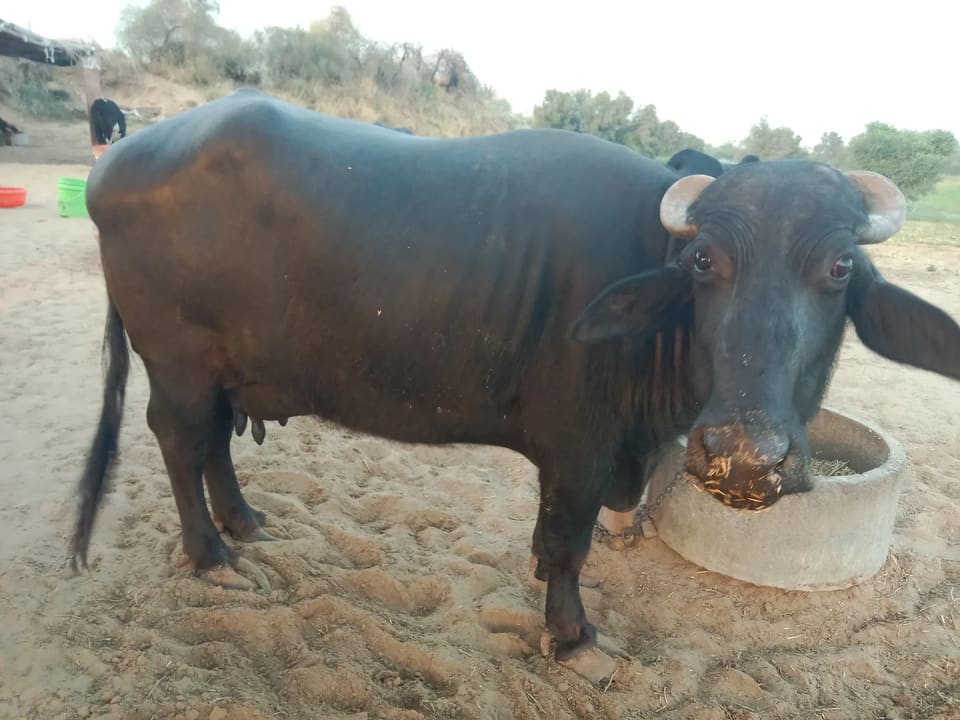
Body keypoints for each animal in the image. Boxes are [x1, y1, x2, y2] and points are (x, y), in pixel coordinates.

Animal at [71, 89, 960, 681]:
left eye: (839, 267)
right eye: (706, 261)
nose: (744, 455)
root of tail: (117, 166)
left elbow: (550, 543)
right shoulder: (578, 449)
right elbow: (566, 544)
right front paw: (571, 637)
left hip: (224, 370)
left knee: (214, 446)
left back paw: (247, 524)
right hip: (178, 364)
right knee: (180, 442)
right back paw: (211, 553)